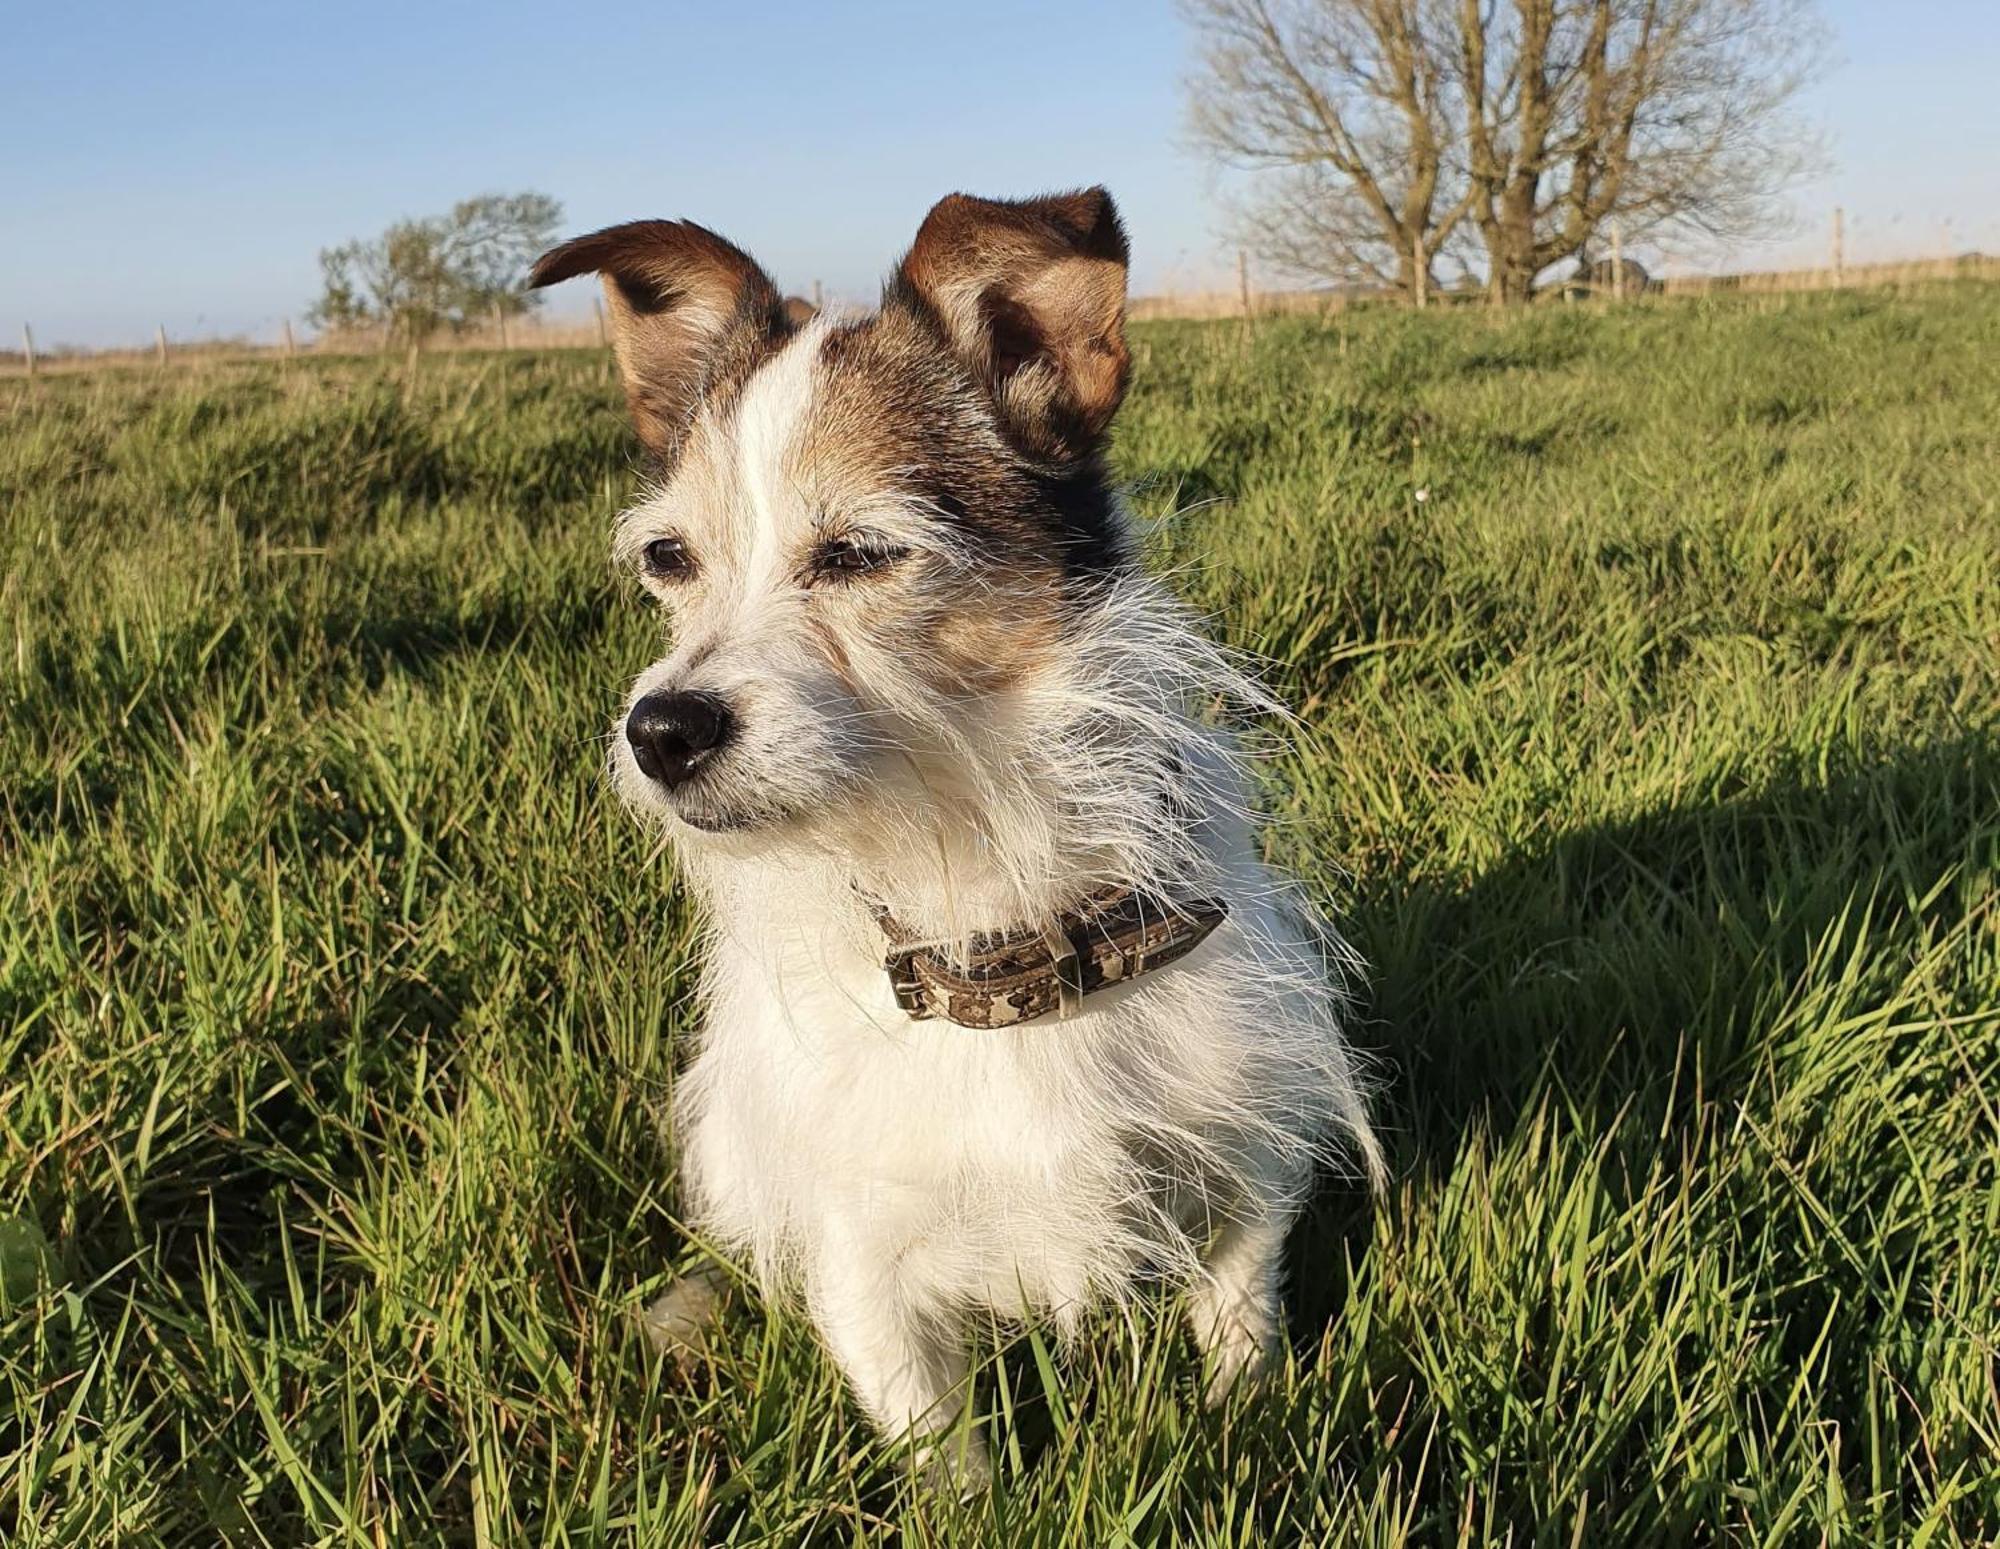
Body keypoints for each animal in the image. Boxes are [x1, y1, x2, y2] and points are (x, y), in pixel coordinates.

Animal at [524, 194, 1384, 1488]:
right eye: (668, 559)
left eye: (859, 552)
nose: (660, 729)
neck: (982, 912)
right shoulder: (865, 1268)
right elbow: (946, 1466)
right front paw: (980, 1502)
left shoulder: (1242, 1157)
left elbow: (1240, 1325)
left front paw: (1248, 1436)